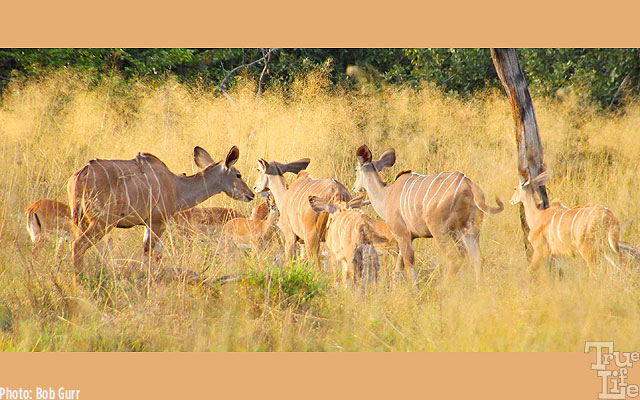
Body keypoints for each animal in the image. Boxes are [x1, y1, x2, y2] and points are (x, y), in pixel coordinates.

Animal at [67, 145, 254, 270]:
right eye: (238, 175)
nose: (250, 194)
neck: (176, 186)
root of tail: (81, 174)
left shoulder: (150, 223)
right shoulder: (158, 221)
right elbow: (150, 253)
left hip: (80, 221)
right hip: (102, 222)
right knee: (78, 245)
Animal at [353, 144, 503, 285]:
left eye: (356, 170)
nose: (354, 187)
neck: (386, 196)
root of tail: (469, 186)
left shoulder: (402, 234)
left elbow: (408, 265)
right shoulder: (408, 237)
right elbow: (398, 268)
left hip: (441, 231)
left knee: (456, 259)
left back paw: (442, 288)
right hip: (470, 230)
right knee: (478, 259)